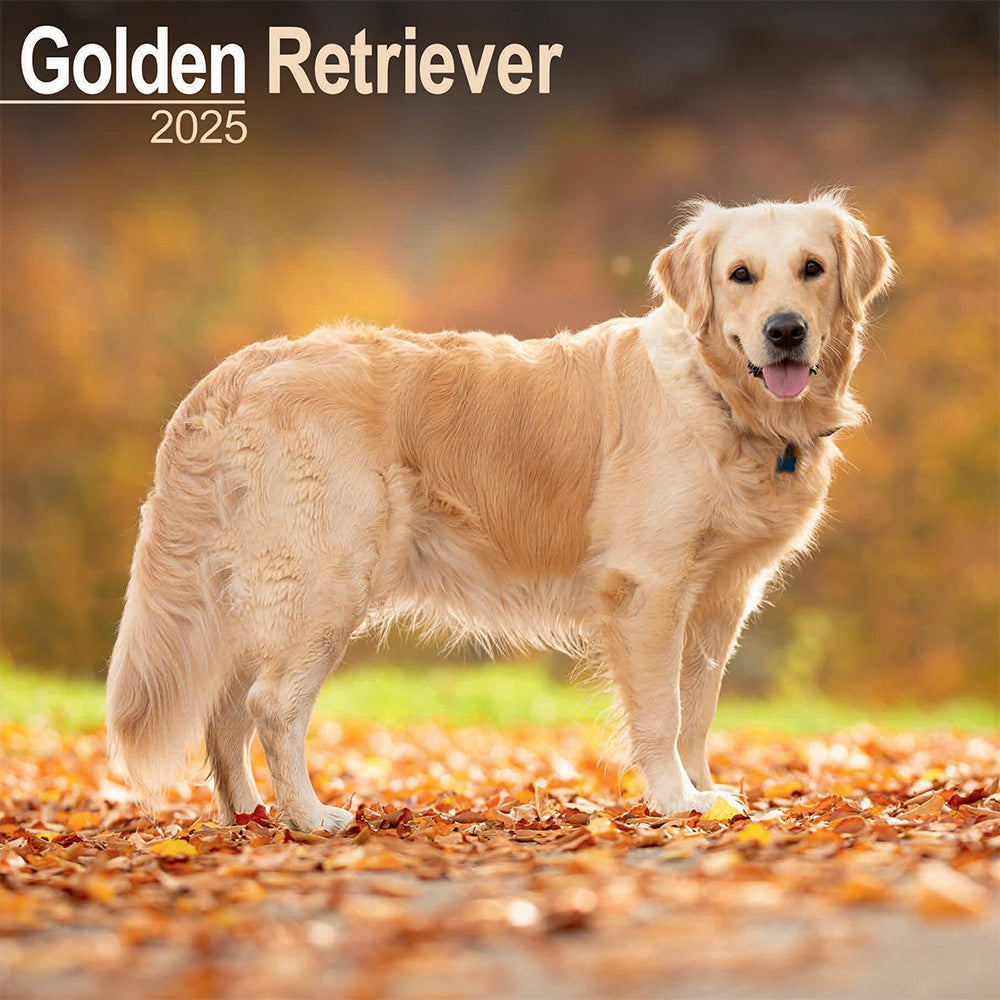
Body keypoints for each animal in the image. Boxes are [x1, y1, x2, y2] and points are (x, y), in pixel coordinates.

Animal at [109, 193, 900, 828]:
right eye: (741, 275)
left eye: (812, 268)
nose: (785, 330)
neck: (722, 400)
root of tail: (243, 367)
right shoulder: (649, 589)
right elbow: (664, 712)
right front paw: (677, 801)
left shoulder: (719, 600)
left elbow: (698, 713)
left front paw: (710, 794)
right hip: (325, 581)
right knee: (271, 706)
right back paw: (310, 817)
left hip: (266, 595)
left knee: (226, 710)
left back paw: (248, 814)